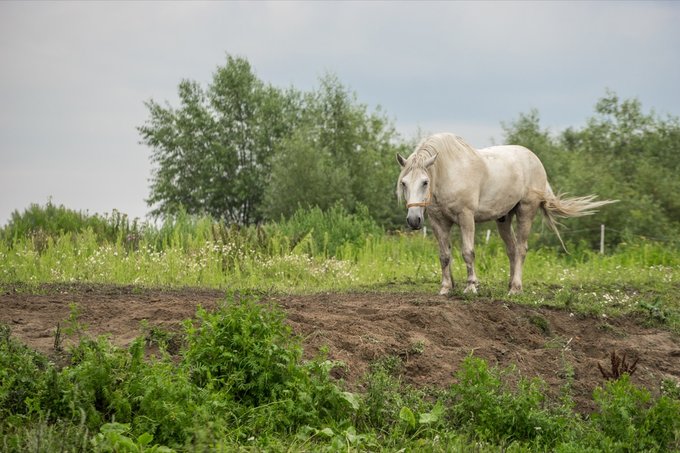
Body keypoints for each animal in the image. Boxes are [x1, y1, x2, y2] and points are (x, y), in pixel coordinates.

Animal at [398, 132, 616, 294]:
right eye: (404, 183)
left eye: (425, 182)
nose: (414, 220)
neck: (449, 173)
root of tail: (534, 159)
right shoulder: (438, 222)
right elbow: (444, 255)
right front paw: (445, 288)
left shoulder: (466, 217)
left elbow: (468, 252)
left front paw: (471, 287)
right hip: (503, 219)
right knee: (511, 249)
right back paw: (510, 284)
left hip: (526, 211)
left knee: (521, 248)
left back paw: (516, 288)